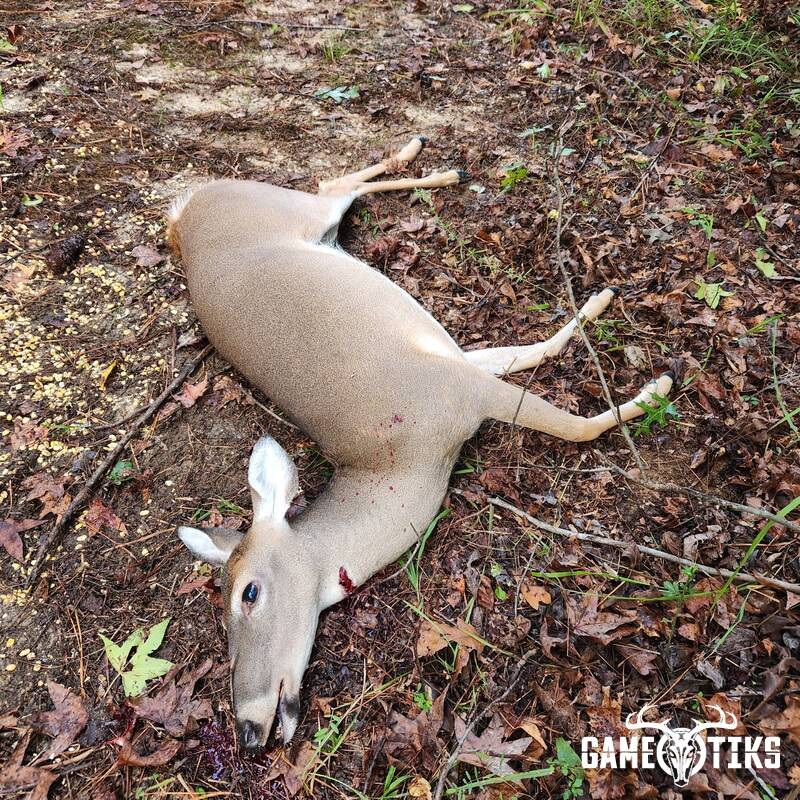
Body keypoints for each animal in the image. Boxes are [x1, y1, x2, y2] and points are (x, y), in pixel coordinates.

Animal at [167, 136, 673, 750]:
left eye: (248, 592)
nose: (248, 728)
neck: (407, 458)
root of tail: (184, 213)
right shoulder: (459, 374)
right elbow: (536, 359)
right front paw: (609, 316)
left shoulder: (457, 385)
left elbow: (566, 412)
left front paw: (653, 382)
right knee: (335, 185)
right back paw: (438, 166)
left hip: (289, 211)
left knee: (329, 184)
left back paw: (436, 162)